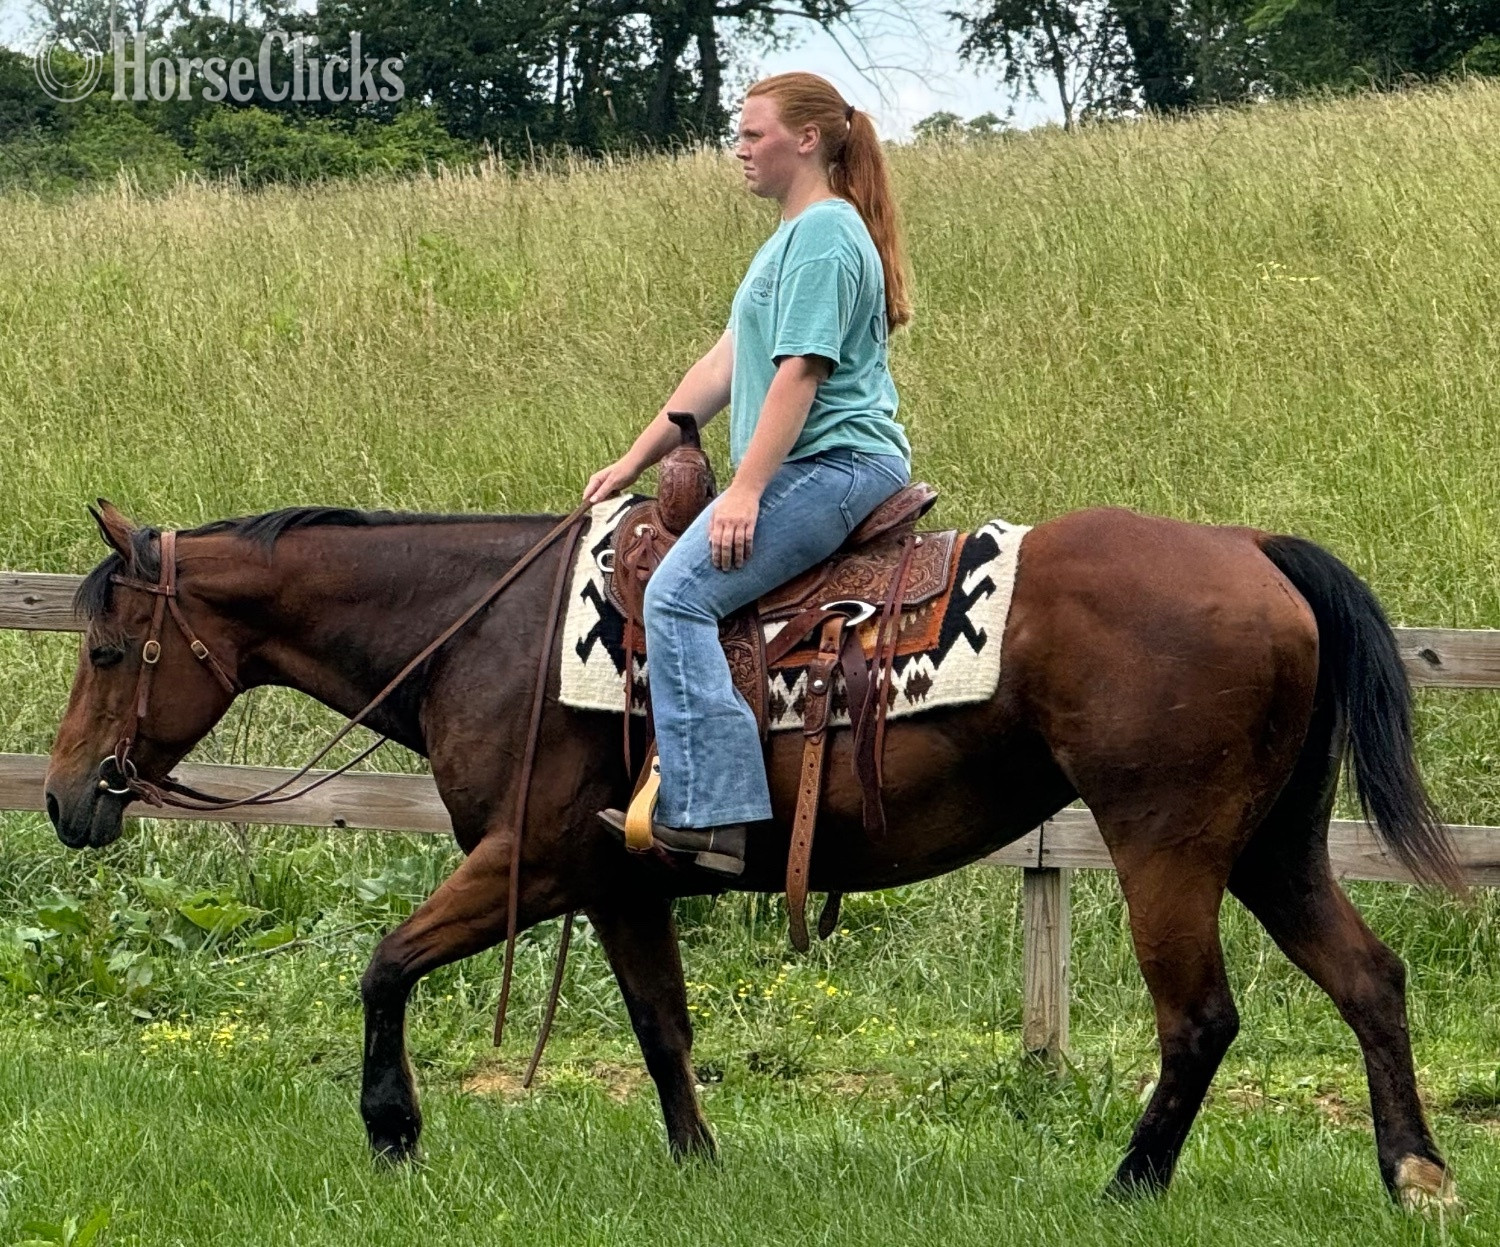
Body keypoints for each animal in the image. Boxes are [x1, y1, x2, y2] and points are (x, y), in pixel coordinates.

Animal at [44, 498, 1462, 1206]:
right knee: (1370, 978)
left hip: (1168, 842)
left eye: (108, 648)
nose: (64, 799)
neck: (486, 630)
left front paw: (393, 1128)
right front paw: (699, 1167)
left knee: (1200, 1017)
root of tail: (1252, 552)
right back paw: (1415, 1172)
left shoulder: (532, 859)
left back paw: (1128, 1184)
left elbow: (386, 962)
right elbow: (662, 1026)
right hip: (1273, 848)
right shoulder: (616, 880)